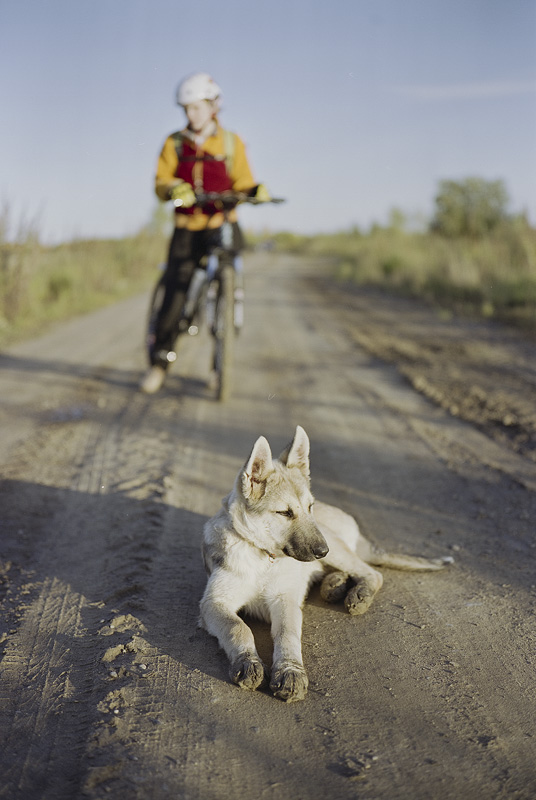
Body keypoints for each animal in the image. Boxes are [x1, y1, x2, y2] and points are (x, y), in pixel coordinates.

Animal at [199, 424, 454, 700]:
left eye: (310, 506)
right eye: (284, 513)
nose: (322, 551)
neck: (263, 557)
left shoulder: (284, 599)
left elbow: (287, 633)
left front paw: (290, 671)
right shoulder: (214, 603)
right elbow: (238, 627)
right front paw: (248, 662)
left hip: (336, 545)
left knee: (372, 573)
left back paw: (358, 592)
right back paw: (335, 585)